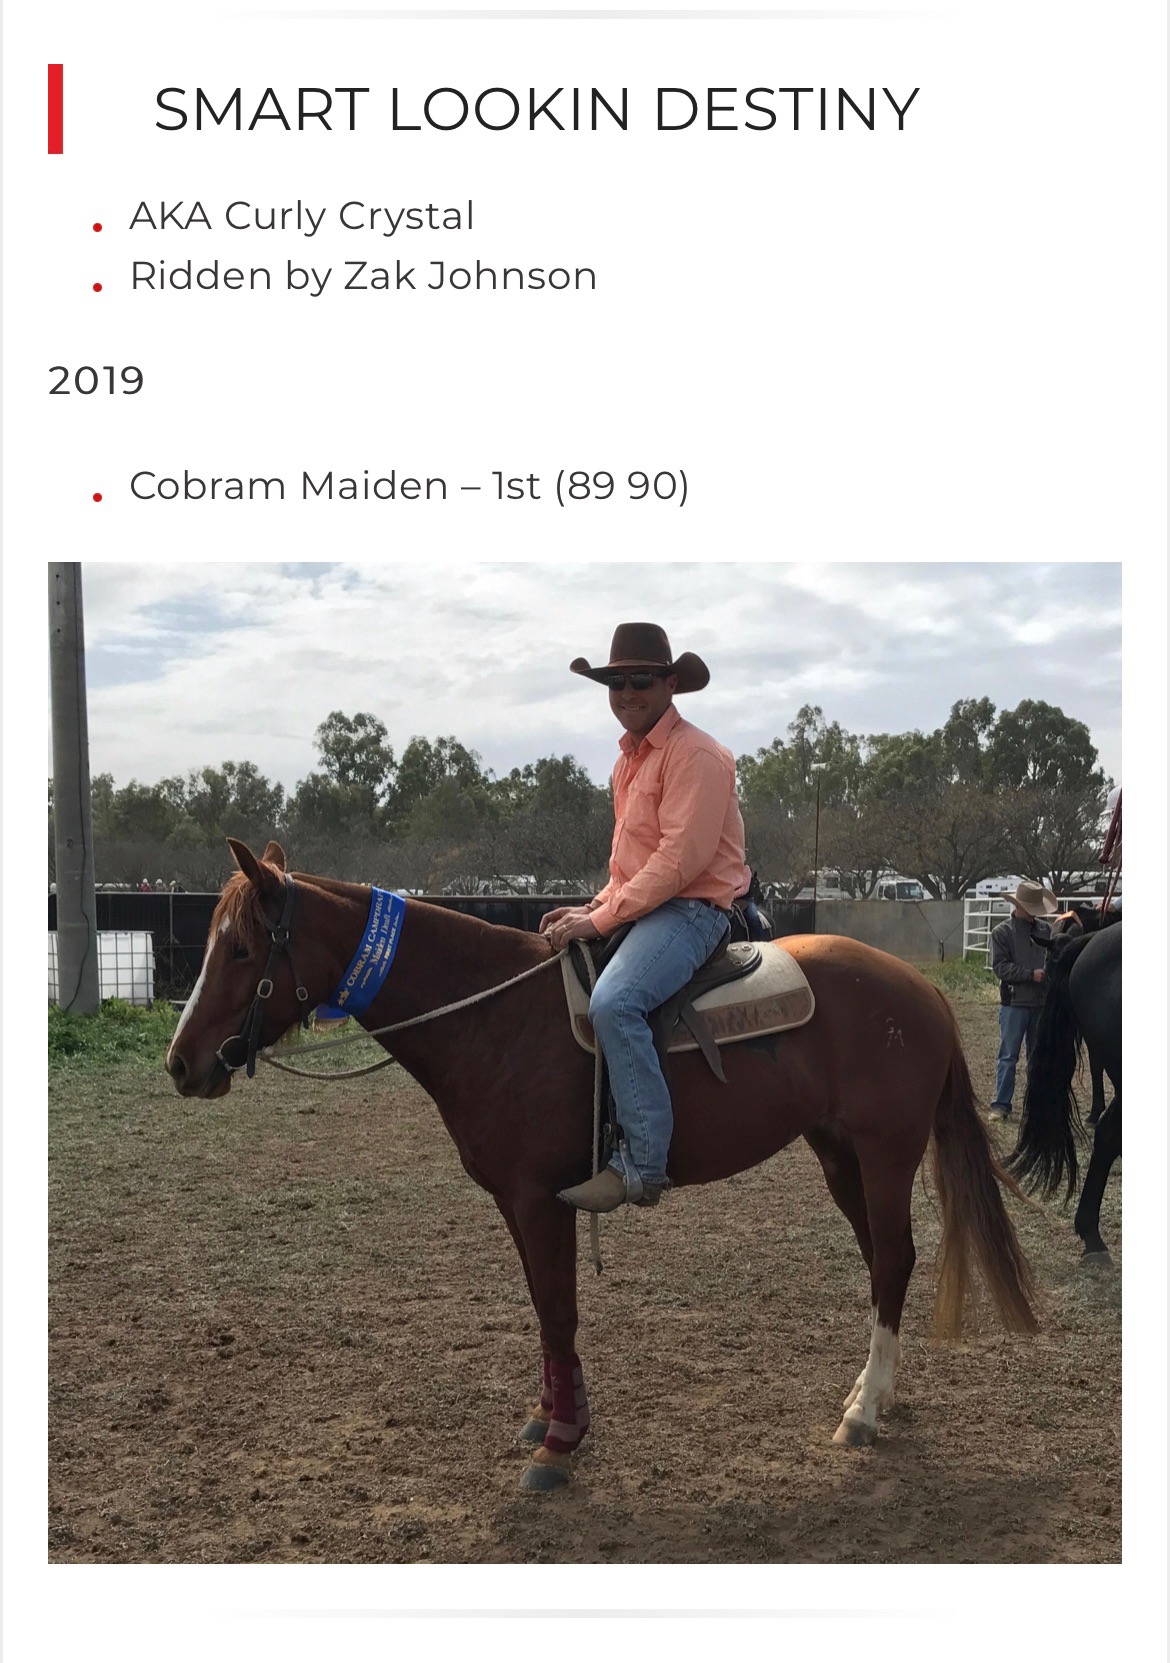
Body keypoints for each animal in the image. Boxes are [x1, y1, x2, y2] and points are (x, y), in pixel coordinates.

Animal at [165, 839, 1038, 1491]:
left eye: (240, 947)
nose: (181, 1063)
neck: (492, 1013)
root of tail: (919, 986)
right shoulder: (520, 1202)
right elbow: (545, 1306)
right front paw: (554, 1416)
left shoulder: (538, 1197)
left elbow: (558, 1309)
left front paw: (559, 1441)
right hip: (838, 1155)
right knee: (885, 1259)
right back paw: (874, 1392)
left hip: (885, 1153)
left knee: (892, 1257)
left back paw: (863, 1413)